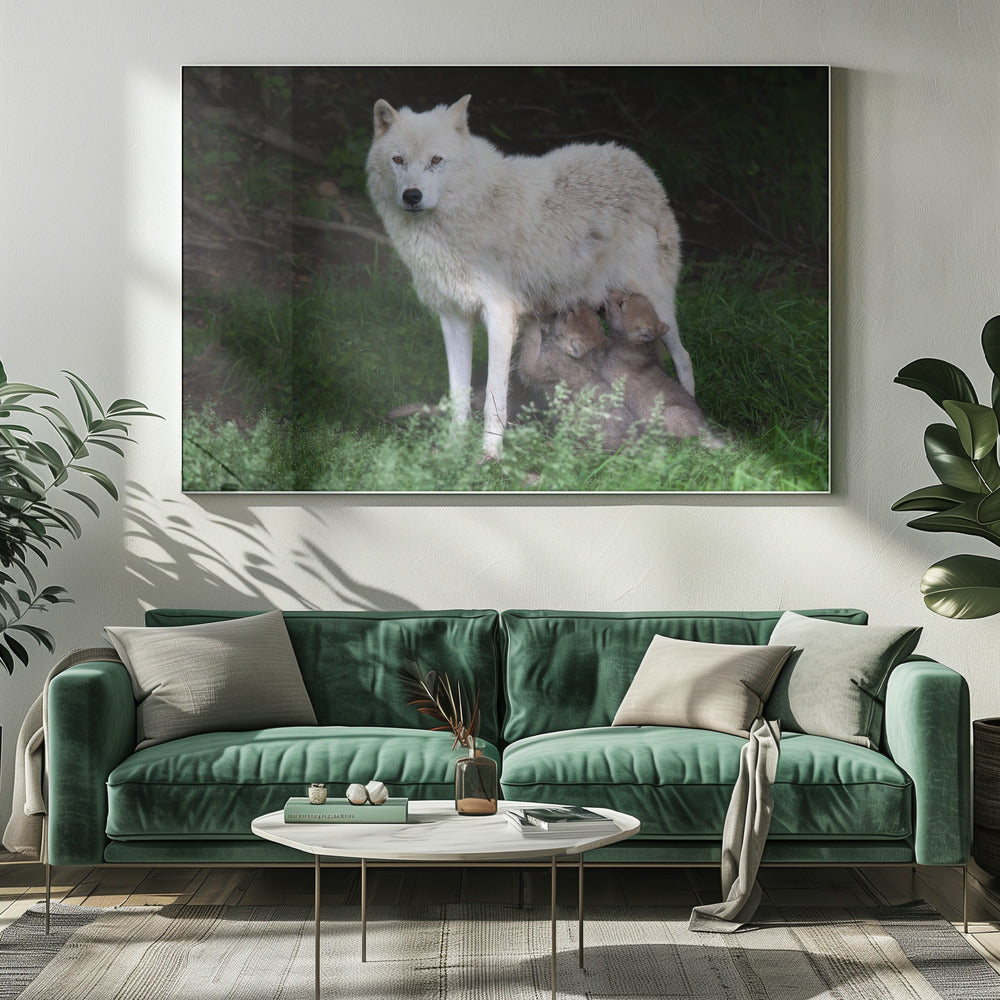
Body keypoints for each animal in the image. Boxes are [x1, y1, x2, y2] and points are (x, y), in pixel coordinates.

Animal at [366, 95, 691, 459]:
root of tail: (635, 161)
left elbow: (494, 398)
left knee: (683, 357)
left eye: (436, 160)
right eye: (398, 160)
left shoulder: (500, 317)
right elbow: (458, 394)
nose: (411, 196)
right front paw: (453, 449)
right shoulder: (453, 316)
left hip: (658, 305)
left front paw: (489, 455)